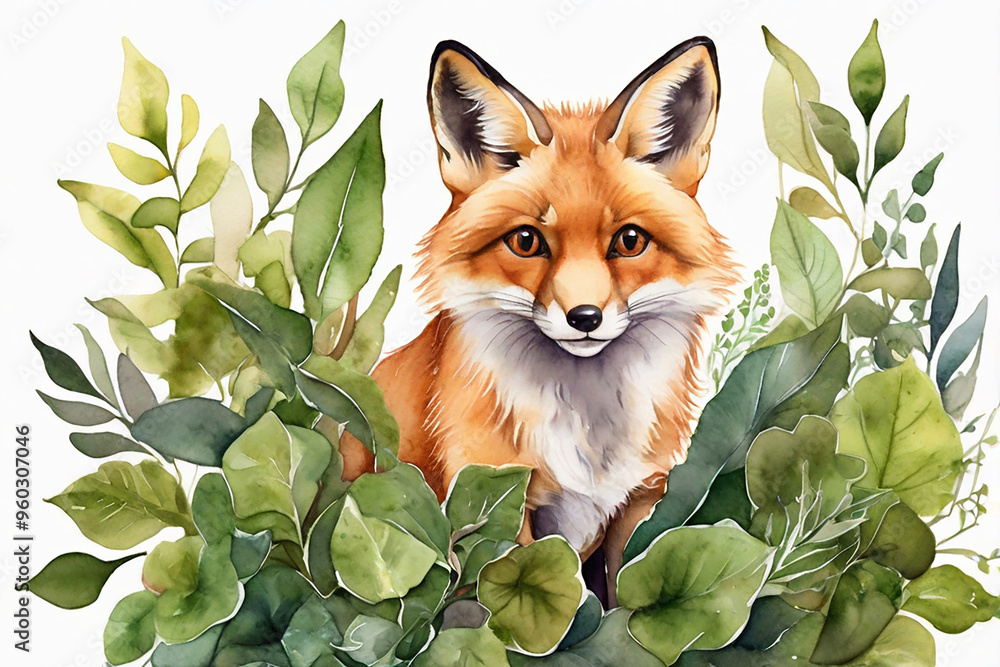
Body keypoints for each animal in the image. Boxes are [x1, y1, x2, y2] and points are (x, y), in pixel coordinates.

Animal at [341, 36, 737, 601]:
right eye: (527, 241)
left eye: (629, 241)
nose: (585, 317)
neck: (587, 429)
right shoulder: (500, 501)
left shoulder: (642, 501)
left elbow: (626, 598)